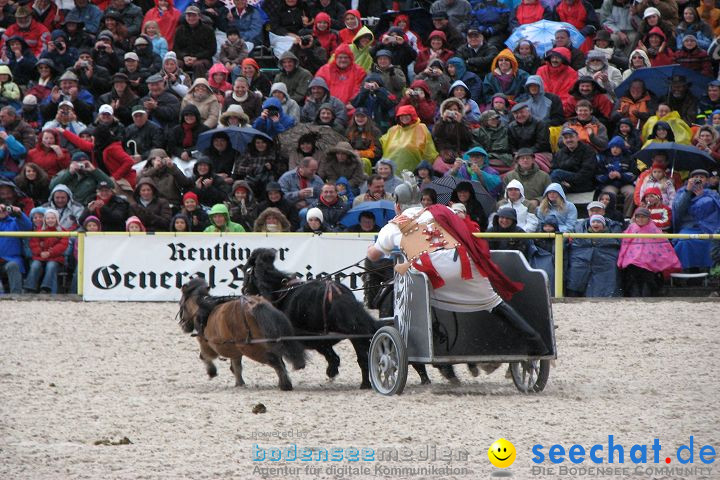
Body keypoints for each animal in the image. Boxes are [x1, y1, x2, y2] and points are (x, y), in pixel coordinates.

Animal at [243, 249, 376, 388]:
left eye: (247, 273)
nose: (244, 290)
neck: (282, 291)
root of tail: (338, 294)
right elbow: (331, 355)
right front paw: (332, 370)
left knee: (361, 358)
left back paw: (364, 383)